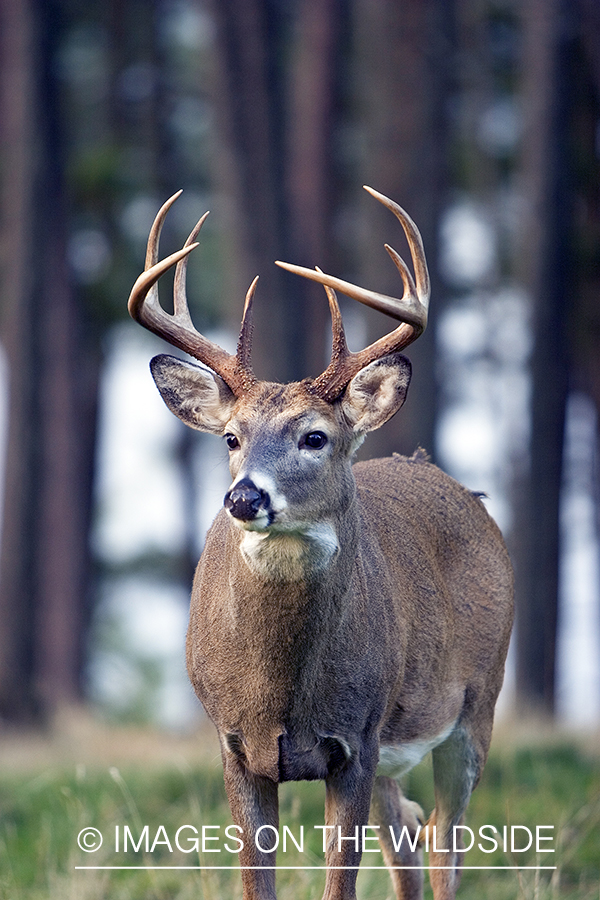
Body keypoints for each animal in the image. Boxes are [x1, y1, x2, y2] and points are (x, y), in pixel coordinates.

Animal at [126, 185, 510, 900]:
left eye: (314, 437)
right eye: (231, 437)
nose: (243, 497)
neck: (283, 694)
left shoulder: (355, 738)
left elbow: (341, 880)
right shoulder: (234, 743)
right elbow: (257, 879)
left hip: (477, 703)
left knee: (445, 839)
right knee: (408, 832)